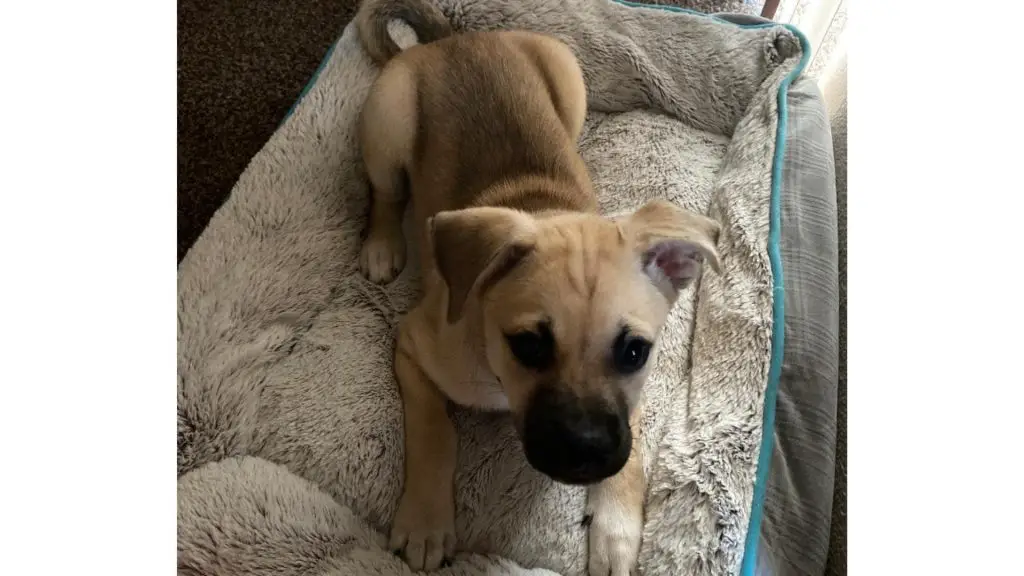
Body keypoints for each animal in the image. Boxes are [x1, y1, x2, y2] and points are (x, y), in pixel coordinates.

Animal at [356, 2, 724, 569]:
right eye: (528, 345)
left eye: (635, 352)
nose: (585, 454)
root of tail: (452, 40)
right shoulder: (413, 346)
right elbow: (434, 430)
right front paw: (425, 523)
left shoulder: (634, 397)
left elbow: (634, 445)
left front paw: (617, 529)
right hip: (387, 122)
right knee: (385, 192)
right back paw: (381, 244)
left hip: (567, 76)